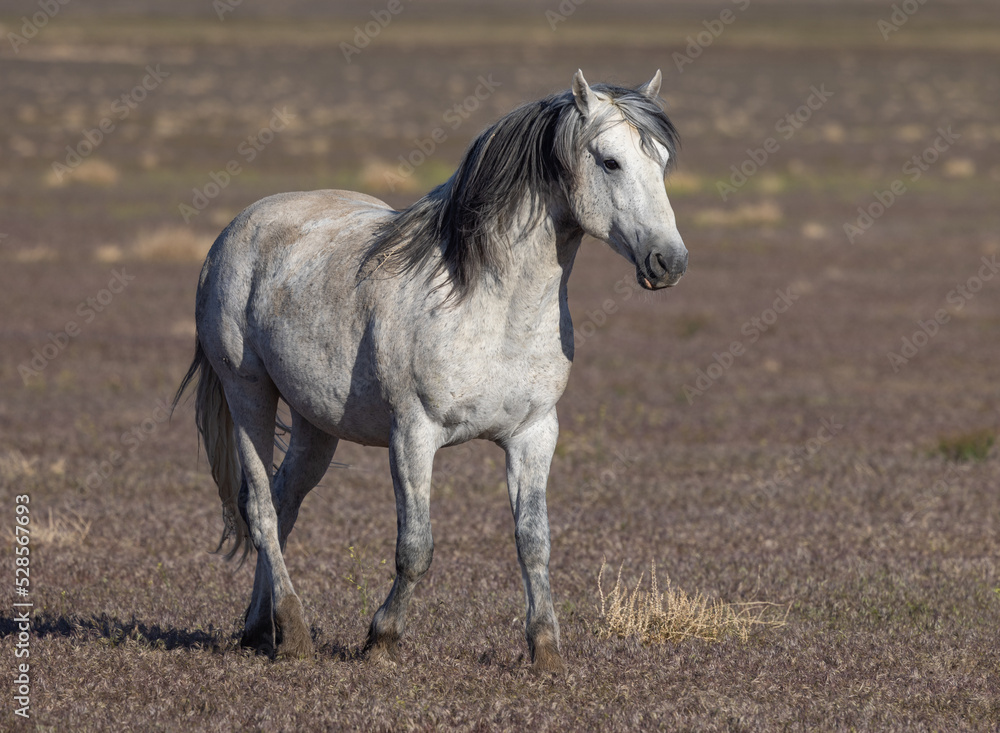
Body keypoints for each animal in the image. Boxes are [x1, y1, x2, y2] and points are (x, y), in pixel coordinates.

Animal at [174, 69, 686, 673]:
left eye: (662, 160)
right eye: (610, 161)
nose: (669, 262)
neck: (490, 305)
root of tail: (237, 229)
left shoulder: (534, 434)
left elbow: (534, 542)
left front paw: (546, 650)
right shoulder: (413, 436)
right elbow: (416, 548)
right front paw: (381, 638)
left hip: (315, 424)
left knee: (284, 500)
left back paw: (261, 627)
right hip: (248, 394)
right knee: (260, 509)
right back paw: (294, 633)